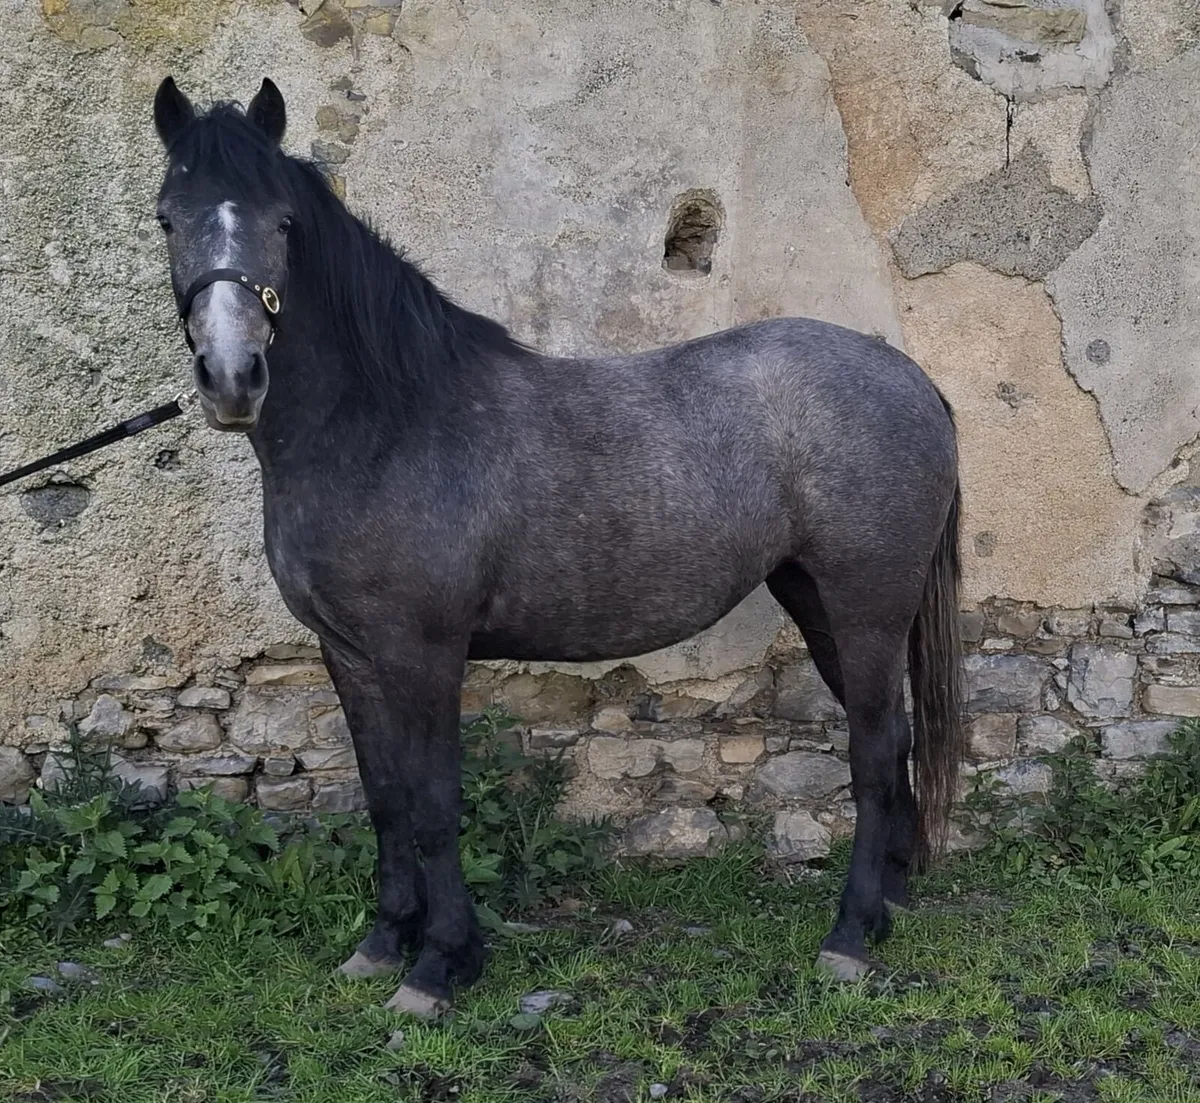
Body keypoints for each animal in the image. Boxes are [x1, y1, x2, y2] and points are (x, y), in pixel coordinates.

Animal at [150, 76, 965, 1017]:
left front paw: (440, 964)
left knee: (873, 749)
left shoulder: (423, 653)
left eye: (283, 223)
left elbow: (432, 803)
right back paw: (888, 905)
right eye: (168, 217)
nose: (232, 377)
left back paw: (849, 935)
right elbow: (385, 798)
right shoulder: (347, 653)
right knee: (893, 743)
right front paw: (383, 944)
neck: (385, 423)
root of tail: (909, 377)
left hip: (868, 607)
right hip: (820, 601)